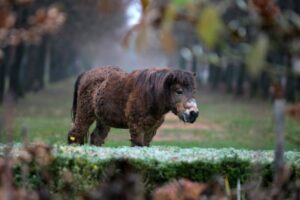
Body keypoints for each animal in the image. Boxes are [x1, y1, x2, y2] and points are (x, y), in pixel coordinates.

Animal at [68, 66, 199, 146]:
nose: (194, 113)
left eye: (194, 91)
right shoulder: (136, 128)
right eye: (179, 91)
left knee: (96, 138)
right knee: (74, 135)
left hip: (102, 120)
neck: (150, 95)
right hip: (84, 115)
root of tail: (85, 73)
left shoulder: (150, 131)